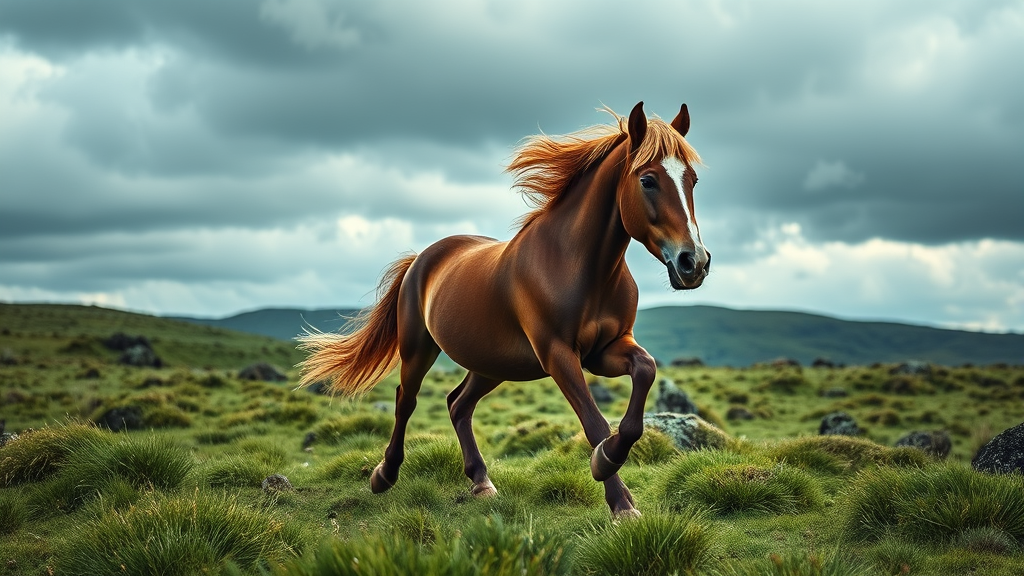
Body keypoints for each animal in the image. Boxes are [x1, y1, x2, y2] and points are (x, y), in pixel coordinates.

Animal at [299, 101, 710, 518]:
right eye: (648, 180)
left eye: (692, 180)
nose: (694, 262)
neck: (577, 266)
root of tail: (421, 259)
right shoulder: (558, 355)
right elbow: (593, 422)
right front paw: (615, 487)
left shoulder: (606, 350)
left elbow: (645, 371)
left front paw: (611, 464)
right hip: (419, 349)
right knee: (406, 400)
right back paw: (384, 476)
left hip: (492, 363)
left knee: (457, 405)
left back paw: (481, 482)